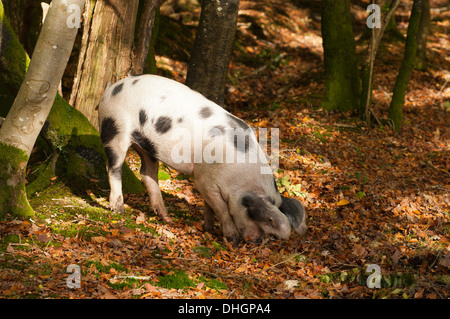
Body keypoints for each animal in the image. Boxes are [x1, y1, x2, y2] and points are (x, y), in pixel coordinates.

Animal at [98, 75, 306, 242]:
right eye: (252, 213)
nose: (254, 241)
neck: (240, 178)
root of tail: (111, 89)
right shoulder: (205, 180)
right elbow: (222, 209)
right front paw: (232, 238)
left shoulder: (209, 183)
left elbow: (210, 207)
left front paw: (207, 229)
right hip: (115, 128)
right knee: (113, 167)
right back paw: (118, 209)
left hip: (147, 147)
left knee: (147, 173)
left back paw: (166, 217)